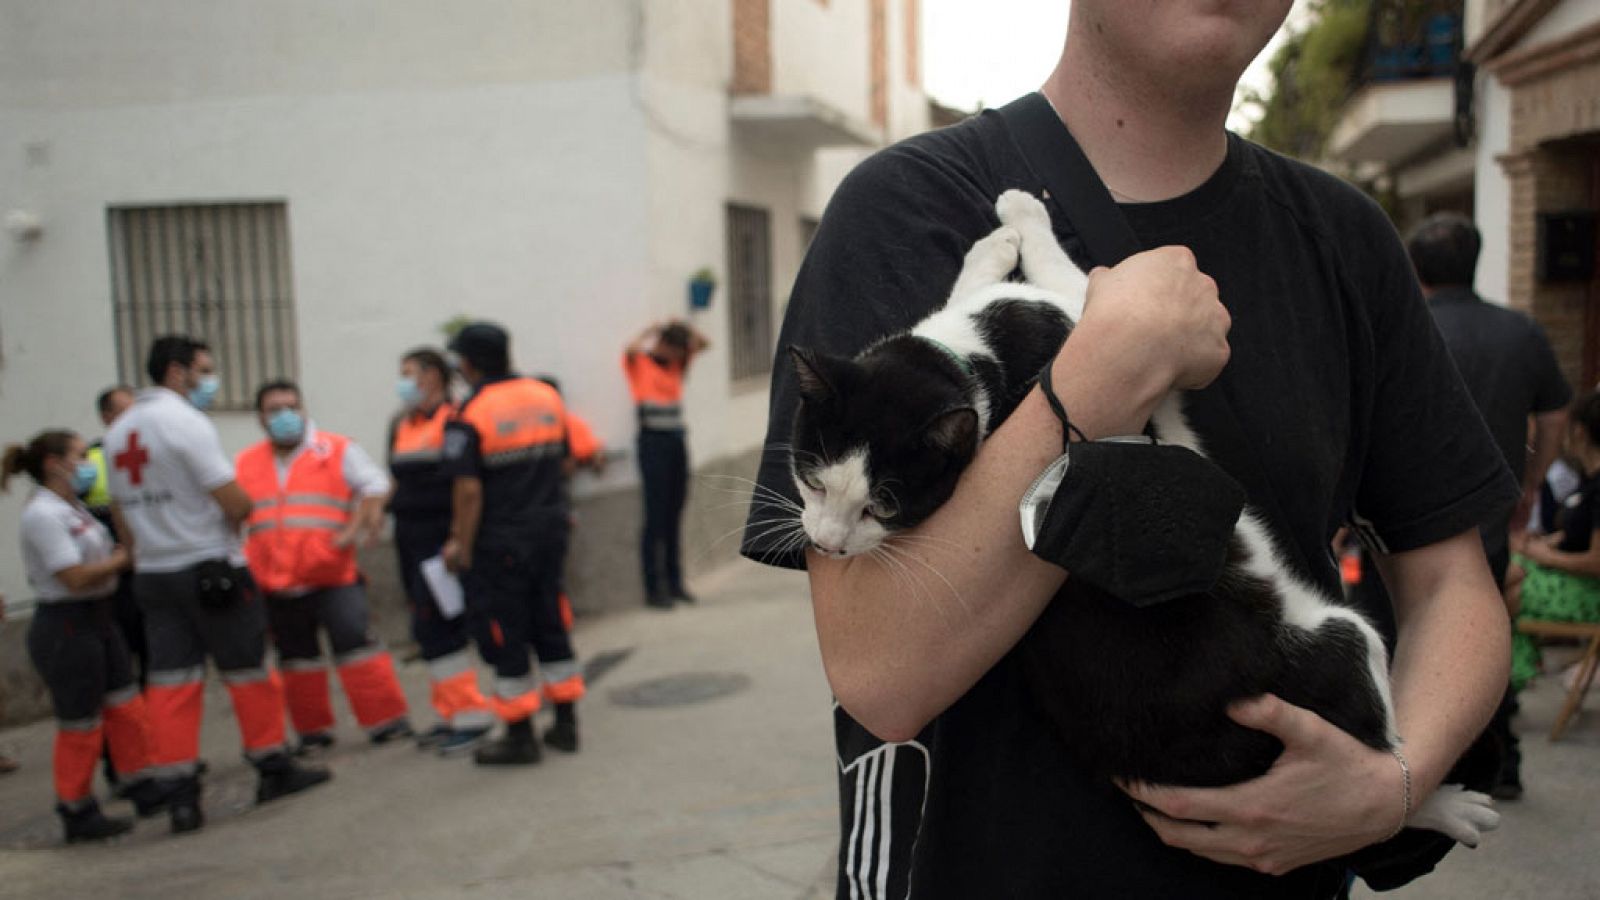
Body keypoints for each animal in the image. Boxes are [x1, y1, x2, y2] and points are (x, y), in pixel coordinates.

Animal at [787, 185, 1497, 845]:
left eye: (882, 505)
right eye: (814, 481)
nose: (827, 542)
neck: (965, 360)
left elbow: (984, 283)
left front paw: (995, 245)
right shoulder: (1090, 326)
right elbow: (1076, 276)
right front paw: (1022, 219)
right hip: (1341, 647)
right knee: (1371, 780)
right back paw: (1436, 806)